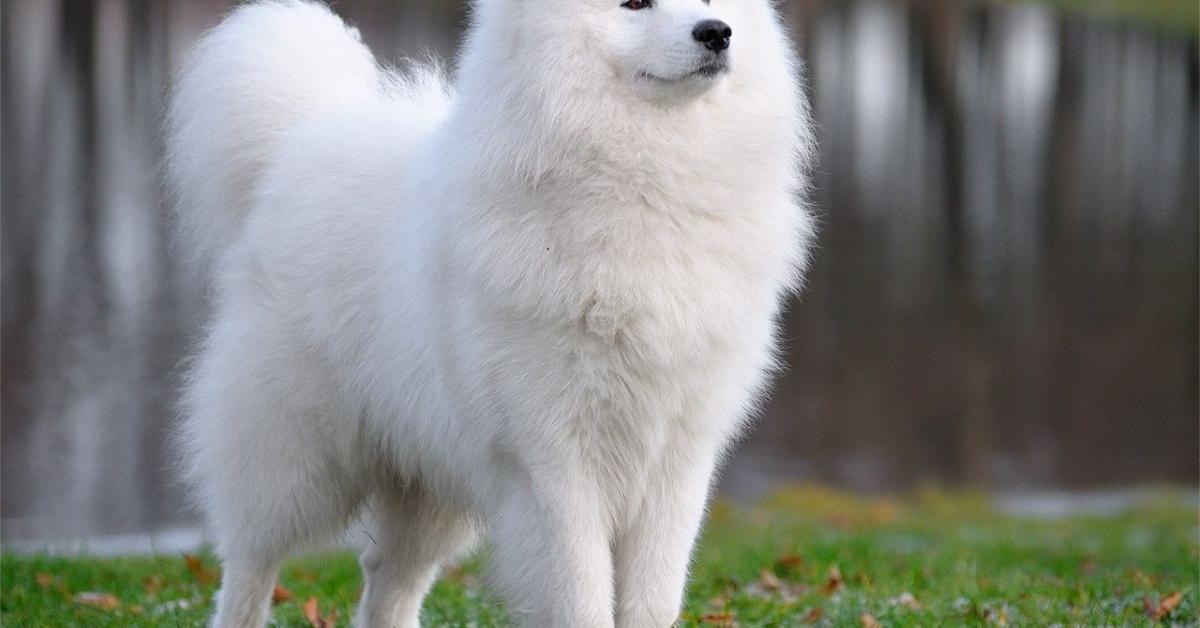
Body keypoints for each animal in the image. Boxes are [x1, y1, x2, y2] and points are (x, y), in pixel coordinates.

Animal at [169, 0, 816, 624]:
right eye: (634, 5)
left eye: (708, 1)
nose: (716, 32)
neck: (647, 190)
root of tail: (300, 138)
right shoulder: (554, 458)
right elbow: (582, 597)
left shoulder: (678, 456)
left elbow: (652, 602)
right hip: (295, 458)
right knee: (251, 562)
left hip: (428, 482)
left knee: (389, 582)